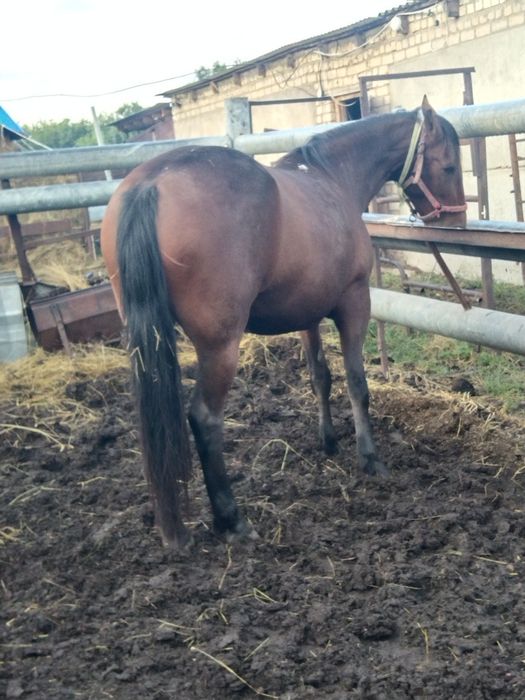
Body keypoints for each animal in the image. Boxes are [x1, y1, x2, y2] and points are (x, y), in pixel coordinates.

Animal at [101, 96, 466, 549]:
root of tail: (151, 183)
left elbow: (320, 377)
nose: (455, 223)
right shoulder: (354, 303)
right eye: (448, 166)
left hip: (146, 341)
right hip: (220, 347)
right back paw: (232, 519)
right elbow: (357, 383)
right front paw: (370, 458)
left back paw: (173, 527)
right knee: (204, 417)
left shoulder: (307, 314)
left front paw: (329, 442)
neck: (332, 177)